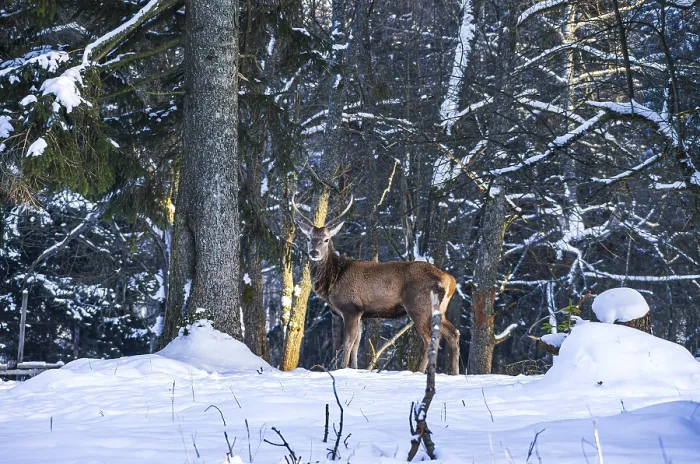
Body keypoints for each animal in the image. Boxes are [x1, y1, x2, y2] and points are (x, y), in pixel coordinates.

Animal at [292, 196, 460, 375]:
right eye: (309, 238)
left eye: (326, 239)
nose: (314, 253)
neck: (332, 281)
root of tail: (450, 280)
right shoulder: (361, 313)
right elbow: (356, 344)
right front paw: (355, 368)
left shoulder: (351, 308)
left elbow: (348, 343)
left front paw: (343, 368)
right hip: (440, 309)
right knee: (453, 333)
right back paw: (455, 372)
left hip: (420, 306)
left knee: (429, 339)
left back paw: (420, 371)